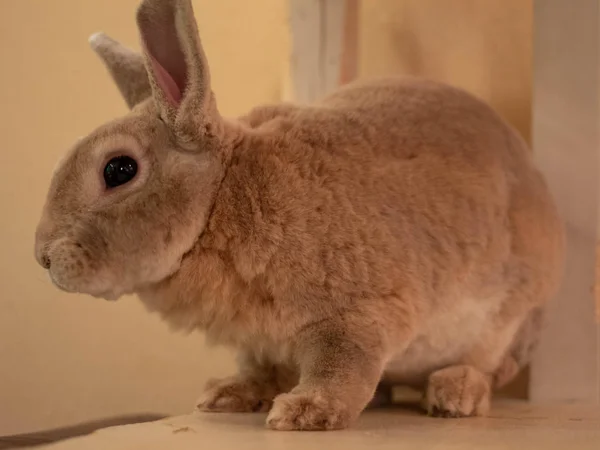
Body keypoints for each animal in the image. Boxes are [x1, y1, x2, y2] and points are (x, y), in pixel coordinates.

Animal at [35, 0, 564, 432]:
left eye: (119, 169)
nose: (42, 257)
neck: (223, 199)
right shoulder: (258, 342)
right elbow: (259, 369)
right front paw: (225, 395)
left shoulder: (352, 317)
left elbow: (342, 366)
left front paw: (304, 411)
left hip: (507, 320)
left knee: (485, 367)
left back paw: (454, 393)